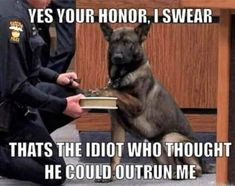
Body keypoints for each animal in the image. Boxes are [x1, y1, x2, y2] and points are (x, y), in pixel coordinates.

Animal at [92, 23, 204, 182]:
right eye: (114, 42)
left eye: (128, 43)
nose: (117, 57)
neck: (122, 76)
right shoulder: (116, 124)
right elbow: (114, 154)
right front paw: (110, 175)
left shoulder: (137, 105)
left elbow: (118, 92)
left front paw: (101, 91)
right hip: (150, 143)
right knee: (168, 166)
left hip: (169, 138)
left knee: (195, 169)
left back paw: (182, 173)